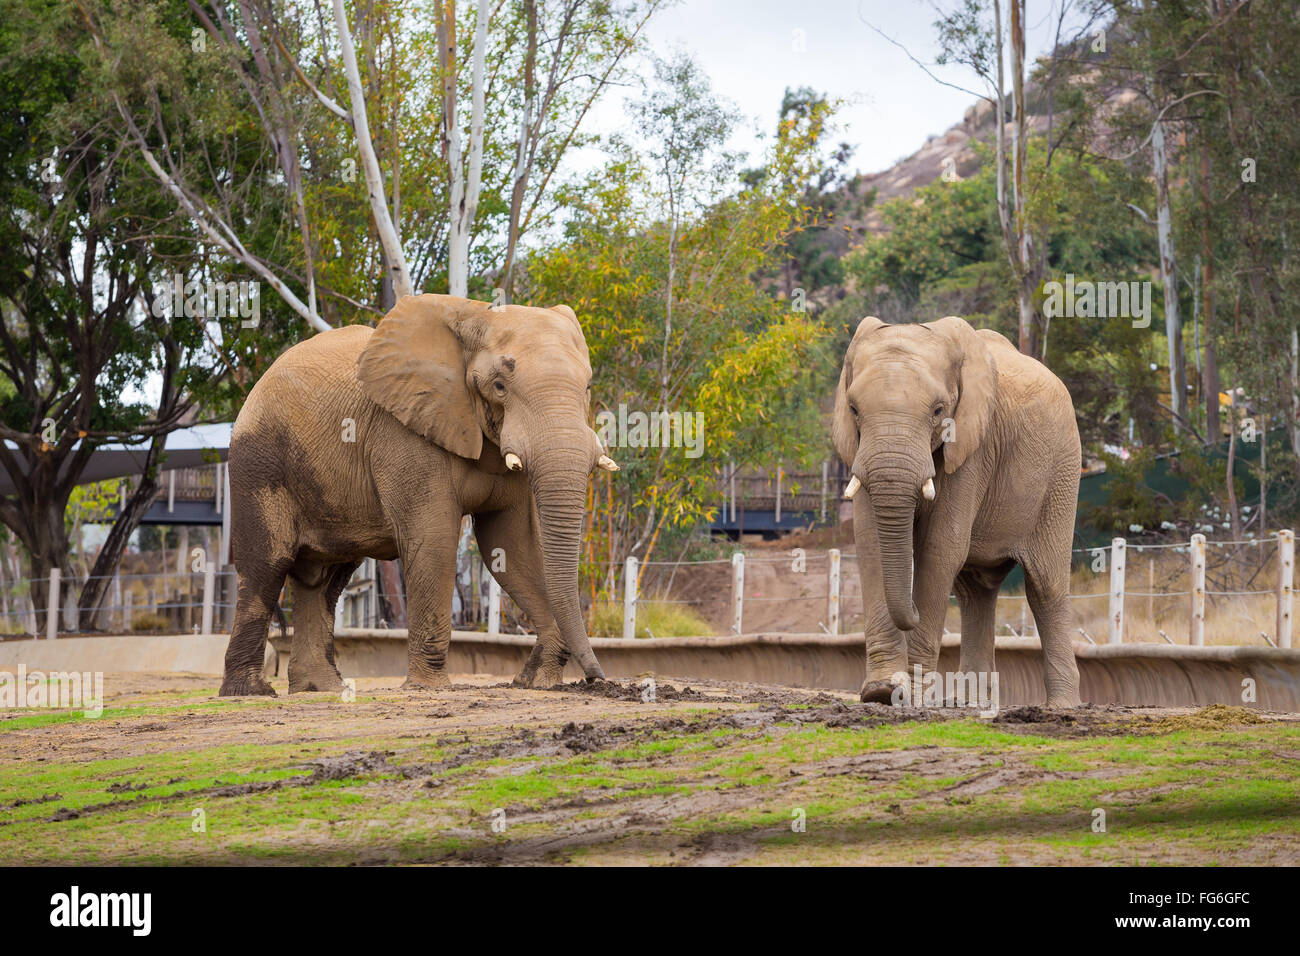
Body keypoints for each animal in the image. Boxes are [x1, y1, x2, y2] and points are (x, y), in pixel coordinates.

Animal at [218, 293, 616, 697]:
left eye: (587, 387)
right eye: (499, 386)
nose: (597, 679)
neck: (475, 315)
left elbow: (509, 545)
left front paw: (534, 681)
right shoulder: (405, 433)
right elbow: (434, 540)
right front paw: (430, 686)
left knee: (326, 579)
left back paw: (323, 689)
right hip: (258, 464)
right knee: (268, 565)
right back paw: (251, 692)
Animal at [832, 315, 1082, 708]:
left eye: (938, 411)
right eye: (854, 409)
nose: (912, 612)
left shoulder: (972, 447)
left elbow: (940, 548)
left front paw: (908, 695)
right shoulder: (858, 449)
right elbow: (870, 544)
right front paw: (881, 692)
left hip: (1062, 473)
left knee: (1045, 586)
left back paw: (1060, 707)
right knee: (975, 590)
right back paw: (969, 703)